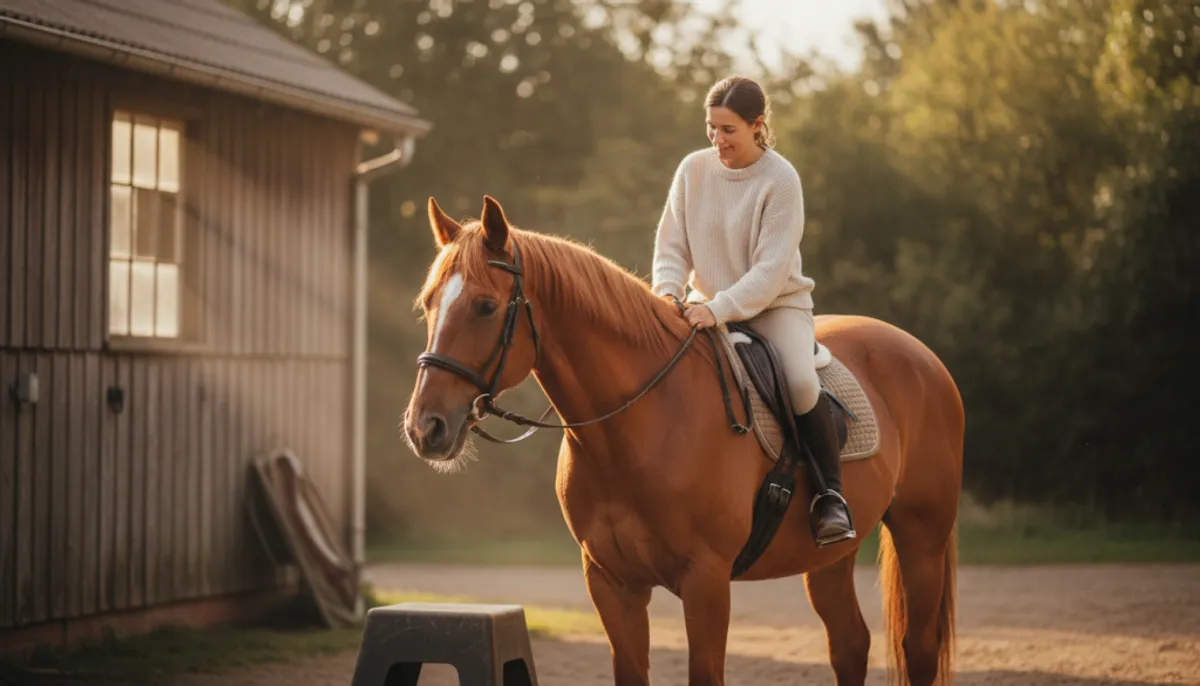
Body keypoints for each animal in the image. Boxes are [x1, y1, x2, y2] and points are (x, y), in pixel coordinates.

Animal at [402, 195, 964, 686]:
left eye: (484, 306)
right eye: (429, 303)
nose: (424, 427)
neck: (636, 428)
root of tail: (922, 356)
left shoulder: (706, 581)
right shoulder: (611, 583)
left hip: (922, 538)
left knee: (917, 650)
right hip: (830, 559)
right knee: (850, 645)